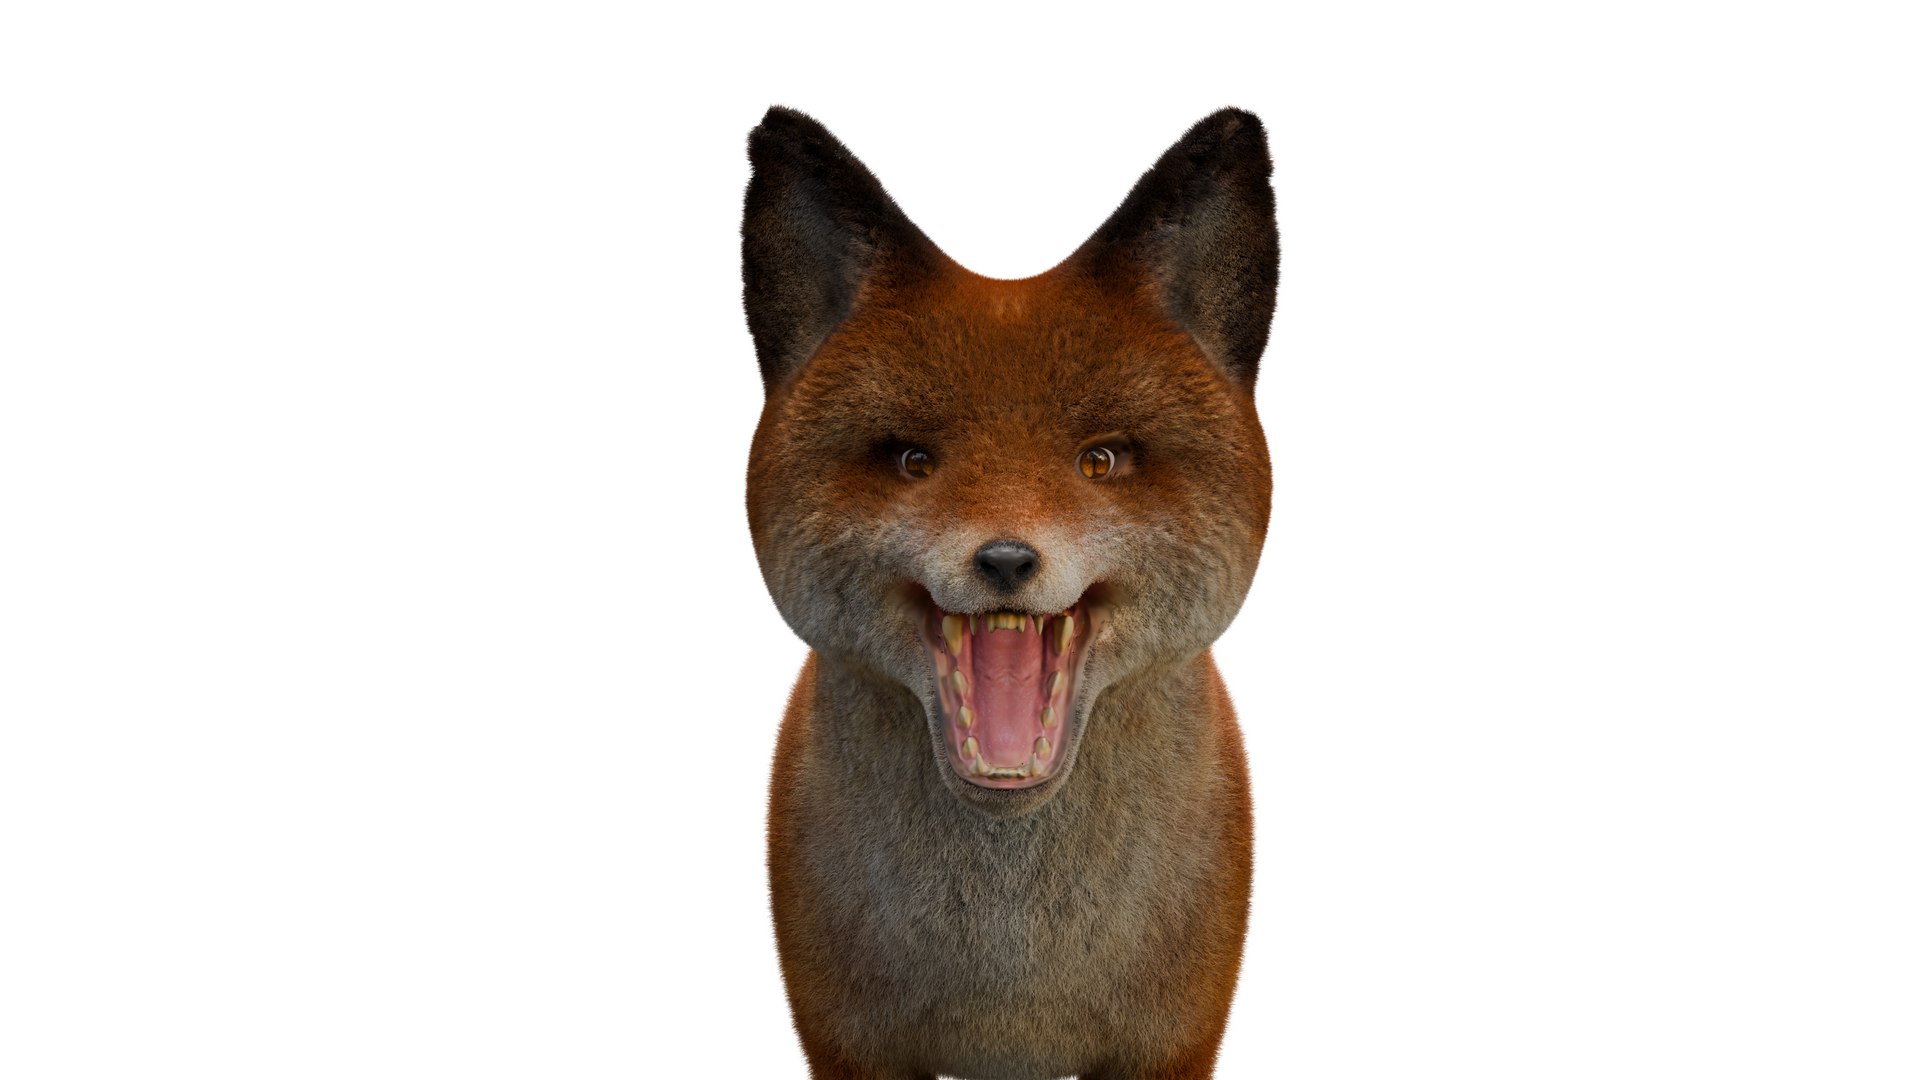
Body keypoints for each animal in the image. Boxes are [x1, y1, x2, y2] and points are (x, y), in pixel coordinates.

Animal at [742, 106, 1278, 1080]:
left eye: (1100, 459)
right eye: (914, 460)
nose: (1004, 560)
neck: (1013, 983)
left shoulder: (1175, 1039)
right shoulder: (846, 1040)